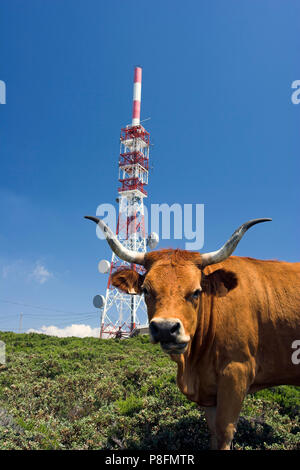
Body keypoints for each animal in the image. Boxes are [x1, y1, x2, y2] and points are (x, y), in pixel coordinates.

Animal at [84, 218, 300, 452]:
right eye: (146, 290)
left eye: (196, 292)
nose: (165, 328)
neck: (193, 363)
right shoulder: (209, 390)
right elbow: (213, 432)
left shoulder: (236, 372)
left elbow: (224, 432)